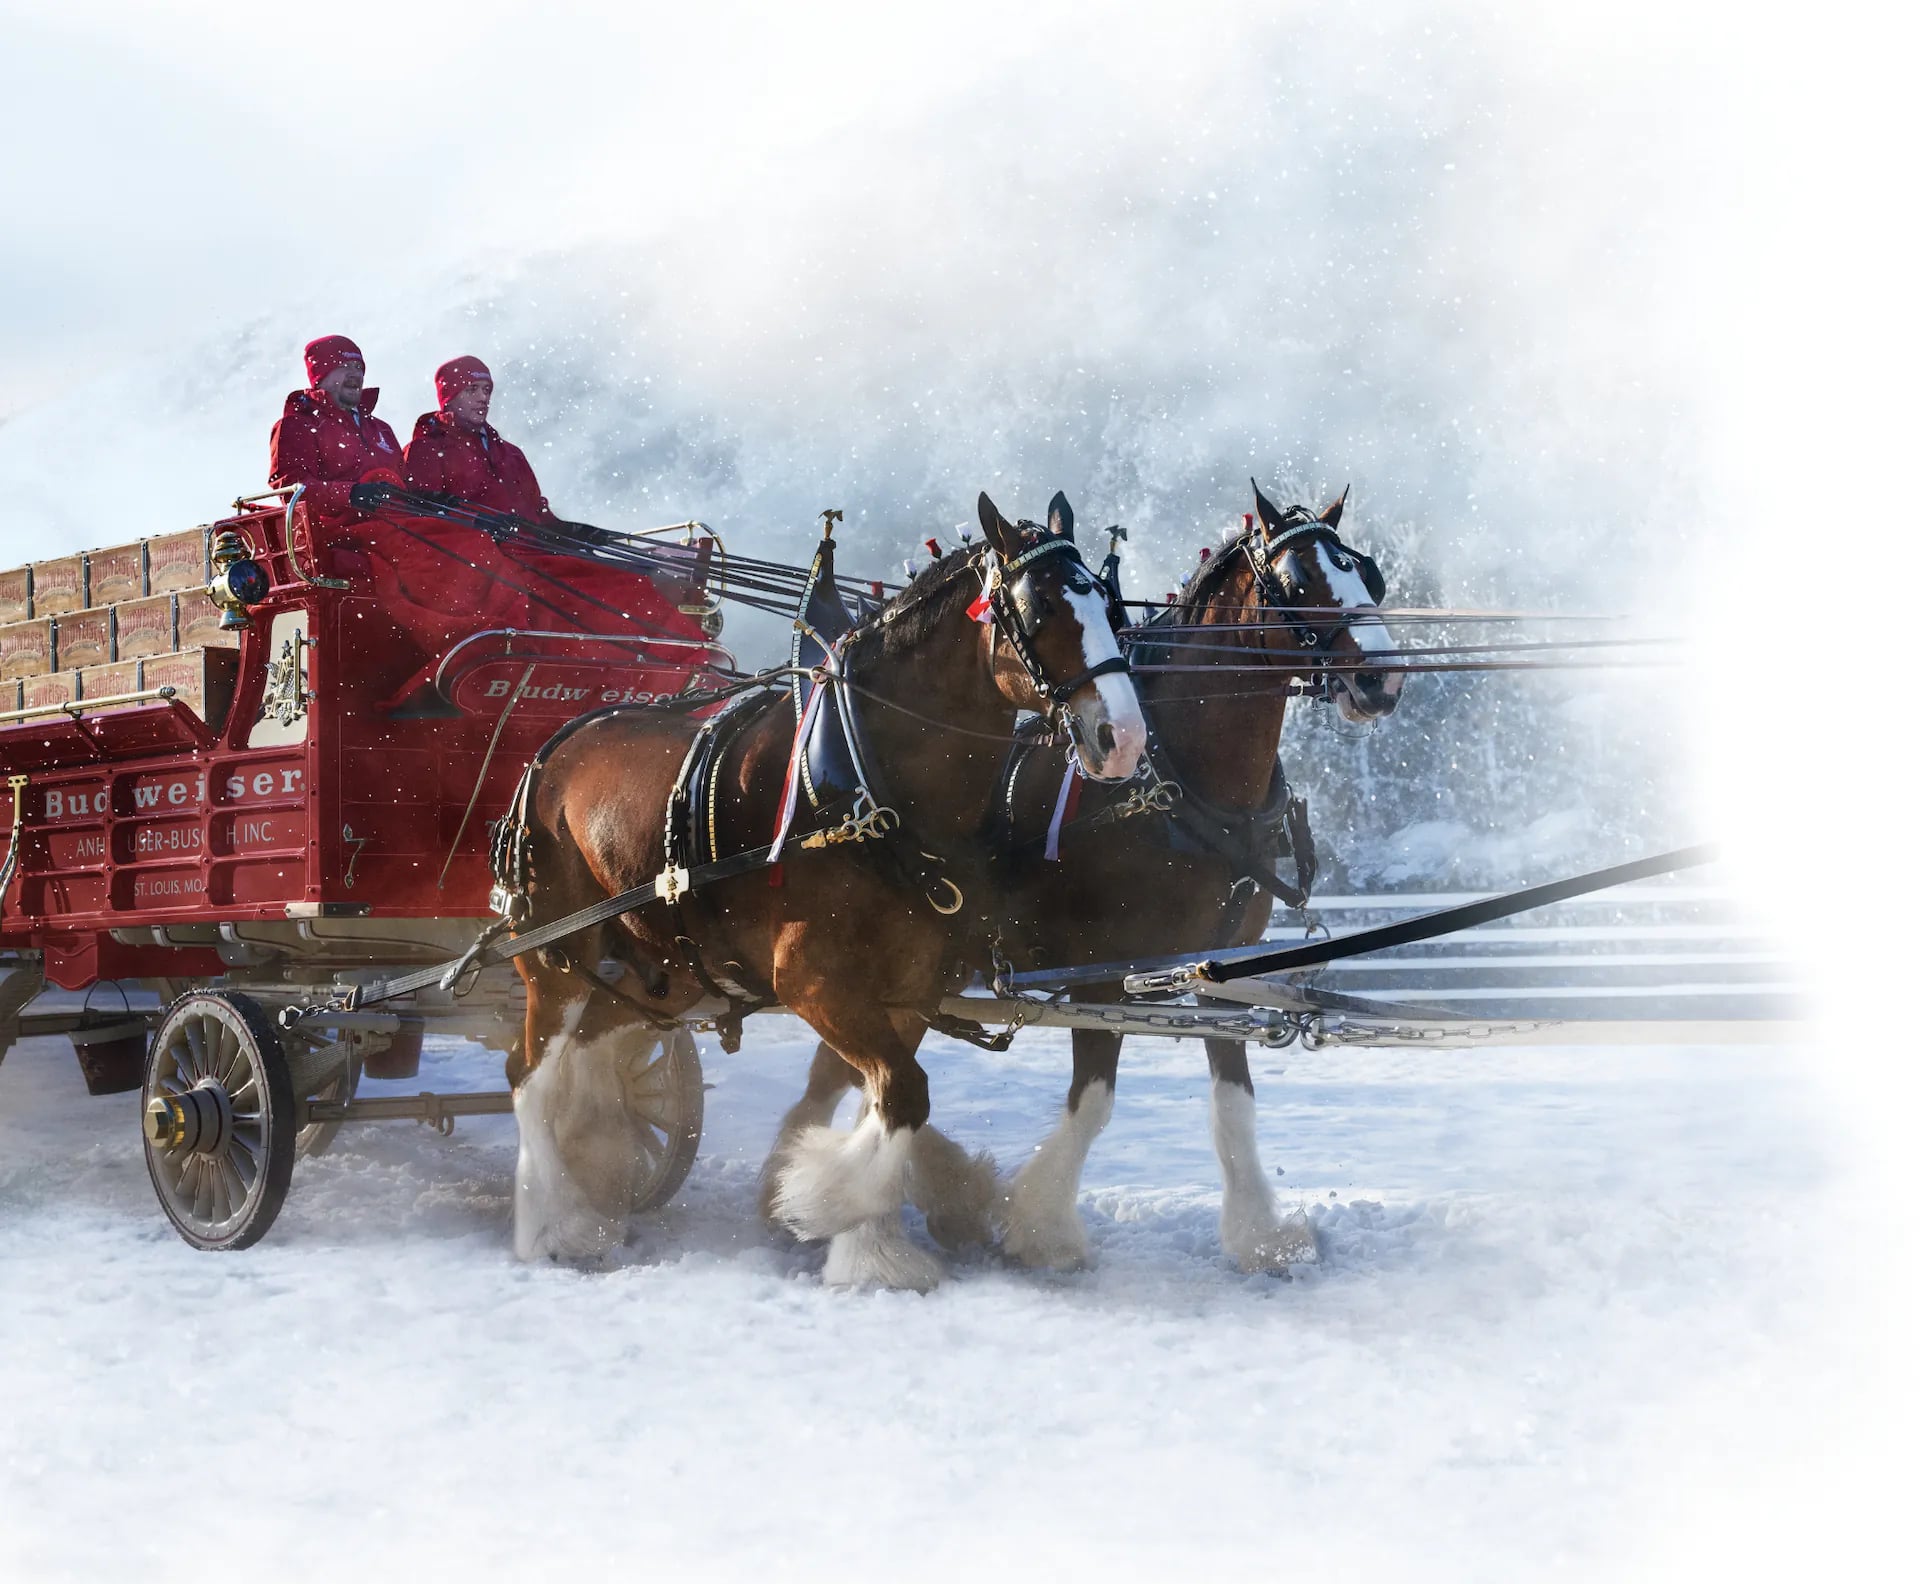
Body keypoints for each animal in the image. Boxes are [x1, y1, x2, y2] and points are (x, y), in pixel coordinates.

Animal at [503, 495, 1144, 1282]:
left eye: (1109, 604)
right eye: (1042, 605)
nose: (1124, 737)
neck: (866, 790)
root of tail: (557, 746)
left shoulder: (909, 988)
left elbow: (885, 1098)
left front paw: (865, 1235)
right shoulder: (812, 980)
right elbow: (903, 1092)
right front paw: (831, 1207)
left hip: (665, 972)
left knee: (591, 1054)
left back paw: (596, 1184)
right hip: (555, 954)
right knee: (530, 1074)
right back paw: (547, 1223)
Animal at [771, 481, 1405, 1274]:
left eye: (1366, 574)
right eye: (1299, 585)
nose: (1382, 679)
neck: (1179, 785)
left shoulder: (1218, 965)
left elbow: (1233, 1102)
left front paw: (1258, 1235)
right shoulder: (1105, 970)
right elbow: (1095, 1098)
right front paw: (1040, 1227)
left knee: (856, 1077)